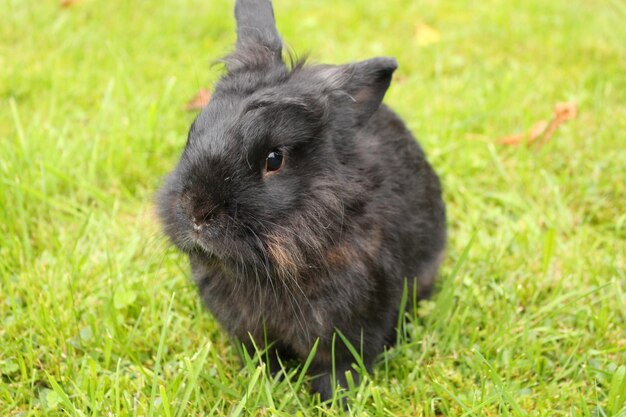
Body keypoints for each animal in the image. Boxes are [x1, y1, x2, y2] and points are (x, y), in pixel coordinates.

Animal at [158, 0, 446, 402]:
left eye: (274, 159)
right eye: (194, 130)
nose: (196, 211)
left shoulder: (348, 328)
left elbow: (339, 366)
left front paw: (336, 400)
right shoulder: (250, 331)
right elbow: (262, 356)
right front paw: (266, 382)